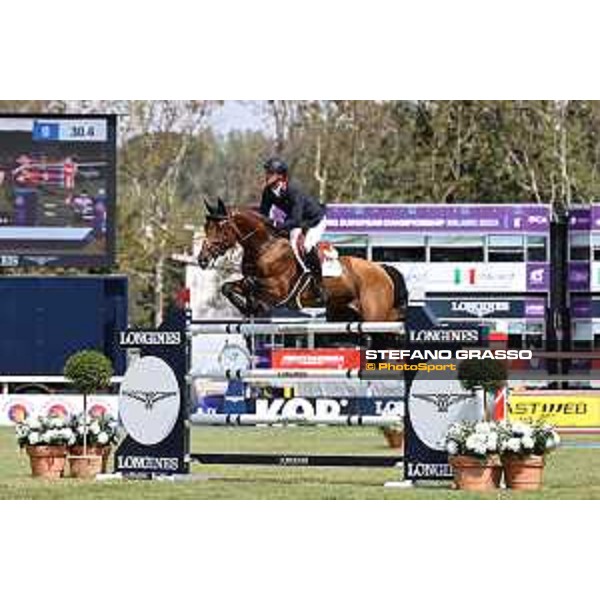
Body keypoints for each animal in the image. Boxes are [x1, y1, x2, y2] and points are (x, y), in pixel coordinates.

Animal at [198, 199, 408, 324]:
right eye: (206, 227)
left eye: (220, 228)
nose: (202, 259)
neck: (264, 246)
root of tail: (382, 270)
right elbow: (227, 287)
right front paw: (250, 307)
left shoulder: (279, 291)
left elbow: (252, 285)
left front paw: (256, 306)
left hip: (375, 315)